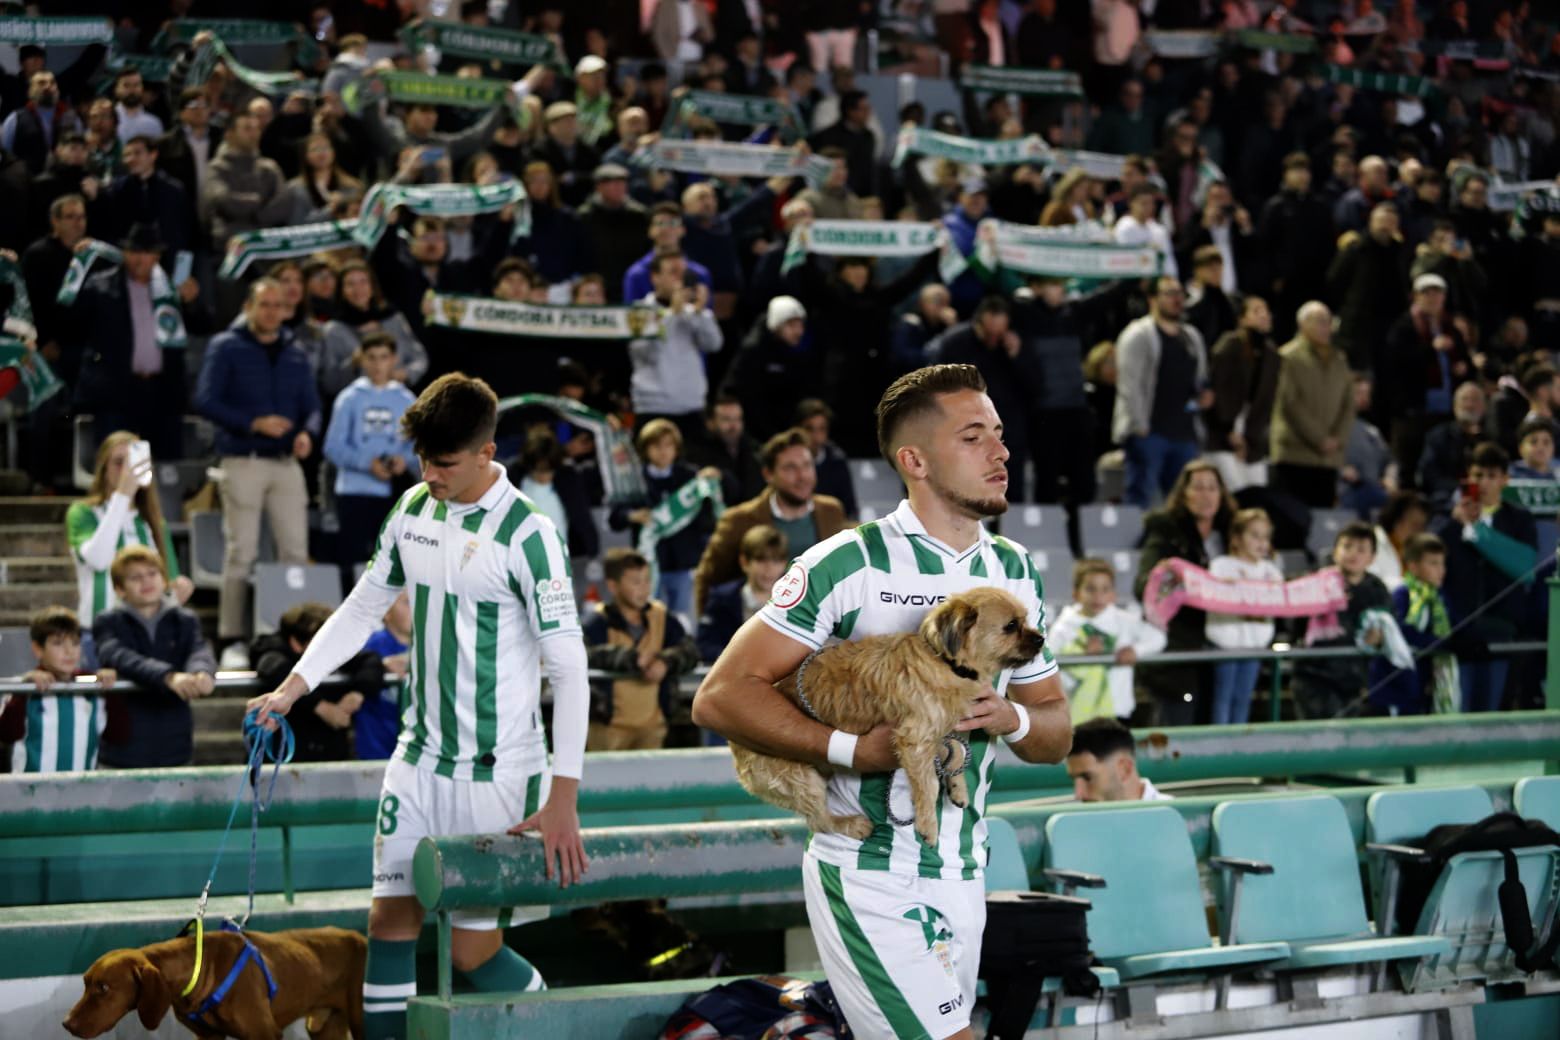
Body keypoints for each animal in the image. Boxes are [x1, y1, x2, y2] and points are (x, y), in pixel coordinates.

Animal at [733, 586, 1048, 848]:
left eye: (1026, 619)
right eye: (1011, 626)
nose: (1041, 638)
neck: (944, 661)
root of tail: (734, 746)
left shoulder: (943, 729)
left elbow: (957, 751)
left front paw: (958, 788)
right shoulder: (915, 740)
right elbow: (929, 785)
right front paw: (928, 825)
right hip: (803, 780)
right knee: (819, 820)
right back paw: (850, 824)